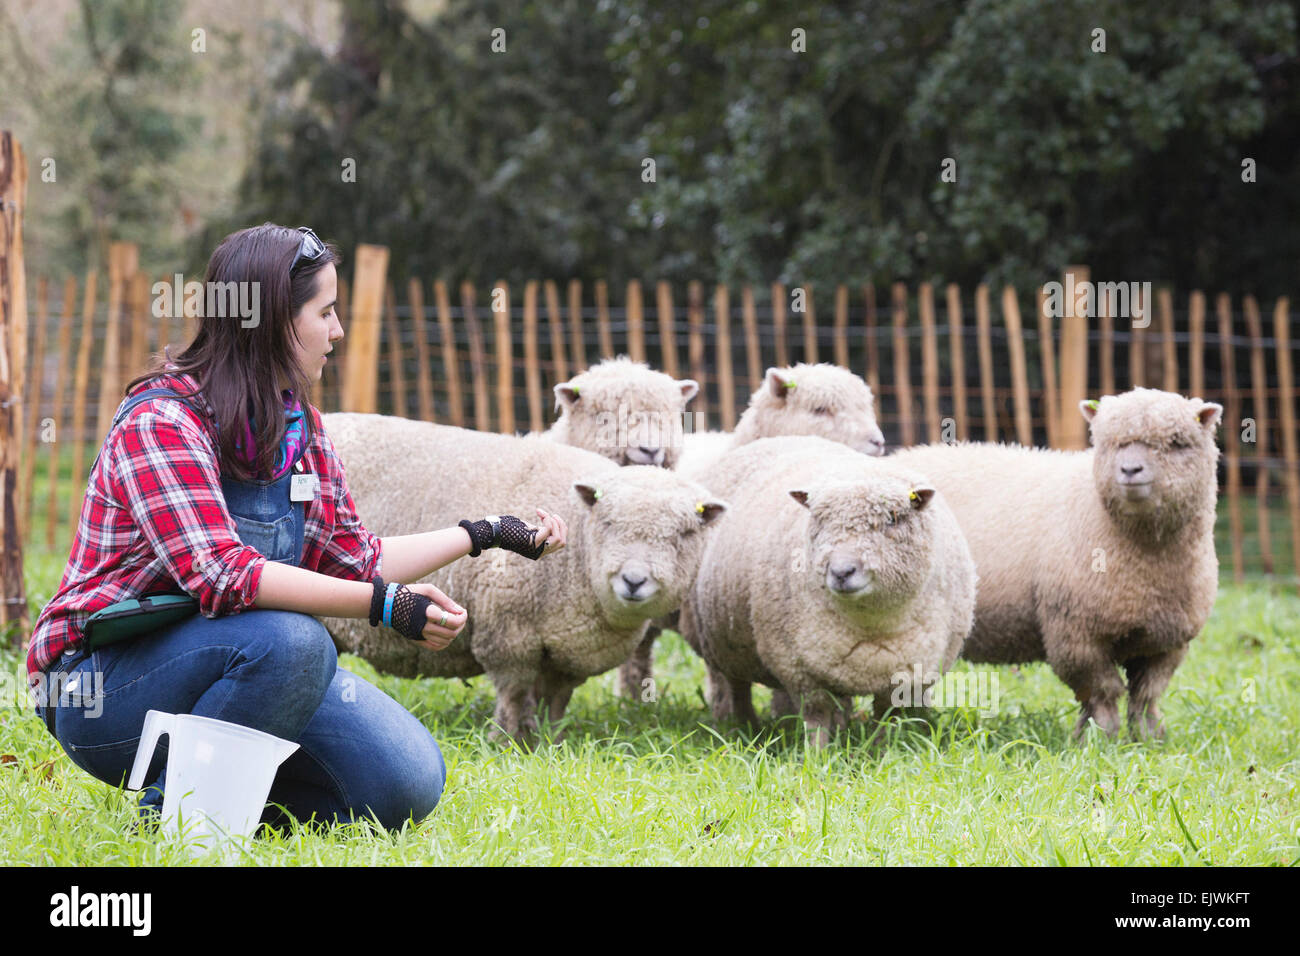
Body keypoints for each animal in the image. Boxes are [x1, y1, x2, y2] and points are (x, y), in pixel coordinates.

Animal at [314, 413, 722, 738]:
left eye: (684, 534)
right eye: (607, 523)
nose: (633, 581)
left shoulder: (567, 654)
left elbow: (555, 702)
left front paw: (550, 742)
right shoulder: (508, 635)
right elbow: (513, 692)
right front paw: (508, 740)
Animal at [681, 434, 977, 749]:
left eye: (893, 519)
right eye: (819, 520)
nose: (842, 572)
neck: (872, 624)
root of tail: (784, 437)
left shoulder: (905, 674)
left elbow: (887, 717)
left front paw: (881, 750)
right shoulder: (800, 667)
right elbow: (817, 715)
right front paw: (817, 753)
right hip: (726, 644)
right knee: (738, 689)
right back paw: (744, 728)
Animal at [889, 390, 1222, 738]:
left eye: (1177, 442)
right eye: (1107, 441)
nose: (1130, 470)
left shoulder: (1167, 643)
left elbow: (1146, 696)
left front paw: (1150, 738)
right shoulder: (1075, 635)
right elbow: (1102, 692)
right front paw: (1097, 738)